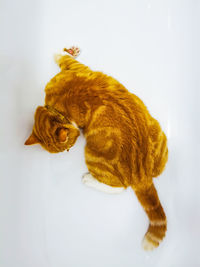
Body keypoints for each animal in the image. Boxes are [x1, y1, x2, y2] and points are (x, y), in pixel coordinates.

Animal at [25, 47, 169, 251]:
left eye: (68, 148)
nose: (68, 151)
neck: (56, 109)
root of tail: (143, 176)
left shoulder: (74, 68)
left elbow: (62, 57)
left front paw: (64, 51)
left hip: (92, 155)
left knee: (120, 188)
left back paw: (88, 179)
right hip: (159, 136)